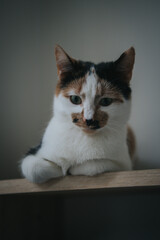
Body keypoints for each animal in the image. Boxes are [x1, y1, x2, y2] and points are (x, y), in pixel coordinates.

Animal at [19, 45, 135, 183]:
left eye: (106, 101)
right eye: (75, 99)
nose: (88, 120)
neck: (83, 138)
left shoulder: (124, 165)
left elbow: (93, 164)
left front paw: (70, 168)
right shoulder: (33, 154)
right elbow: (34, 169)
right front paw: (59, 167)